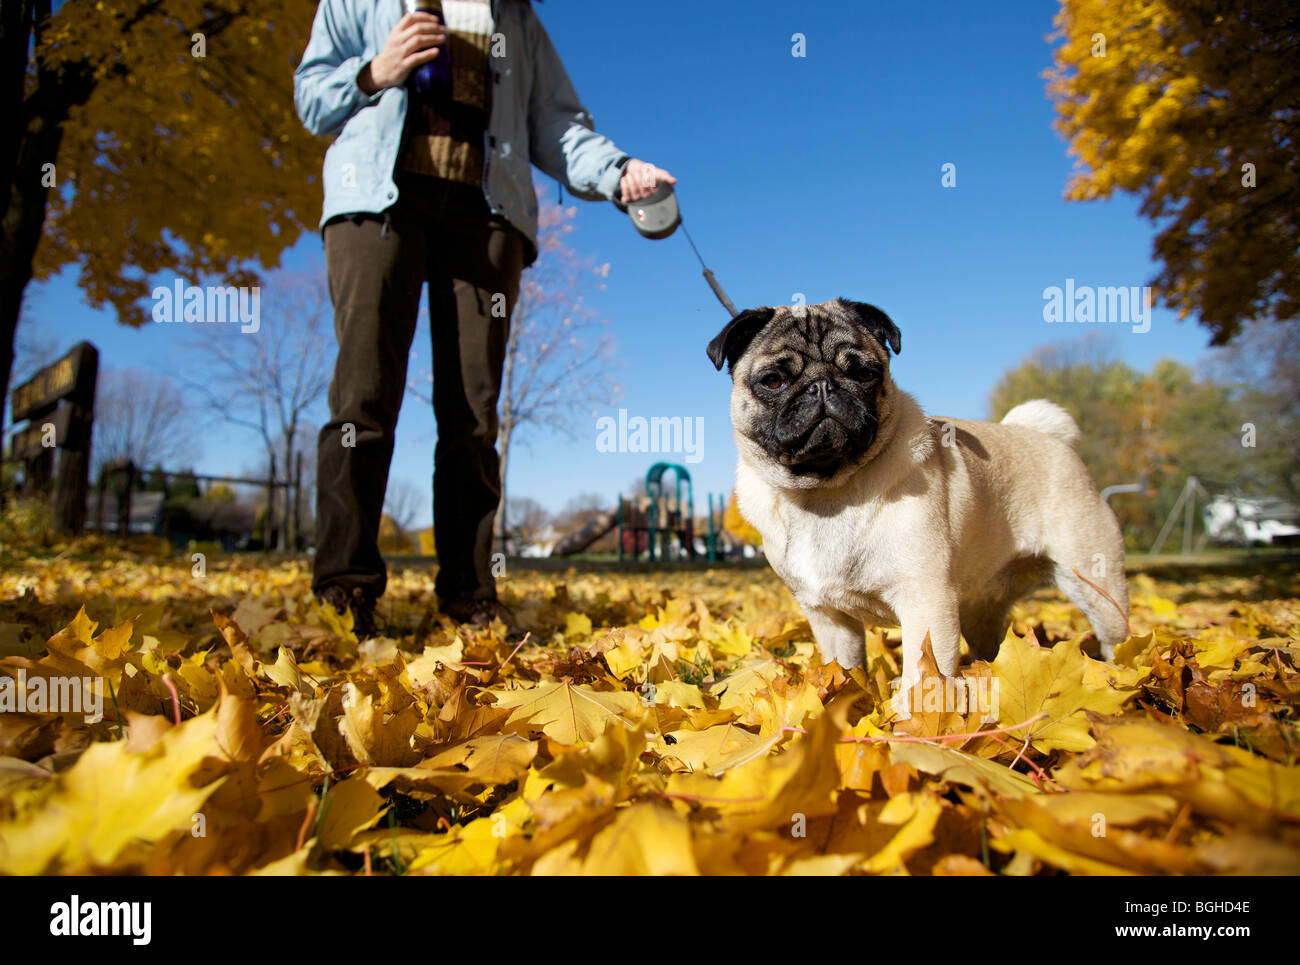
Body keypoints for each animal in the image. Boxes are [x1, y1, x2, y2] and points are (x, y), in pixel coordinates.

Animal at [712, 300, 1128, 686]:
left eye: (864, 373)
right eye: (773, 381)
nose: (822, 385)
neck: (825, 493)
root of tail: (1051, 439)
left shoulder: (926, 601)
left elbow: (922, 675)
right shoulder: (828, 616)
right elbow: (842, 668)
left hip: (1095, 584)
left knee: (1116, 637)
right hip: (979, 607)